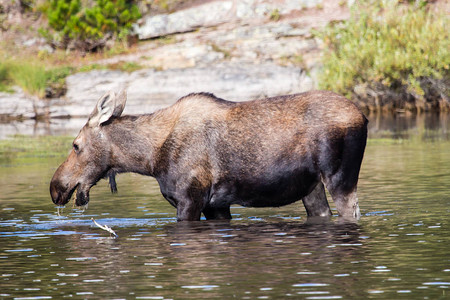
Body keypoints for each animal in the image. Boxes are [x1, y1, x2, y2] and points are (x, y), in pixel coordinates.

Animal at [50, 90, 366, 221]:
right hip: (311, 187)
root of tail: (362, 116)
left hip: (340, 177)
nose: (55, 188)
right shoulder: (216, 205)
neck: (150, 160)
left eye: (76, 145)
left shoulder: (190, 199)